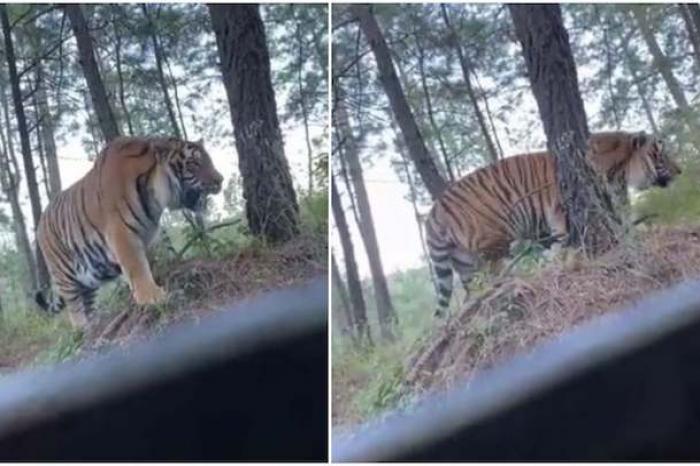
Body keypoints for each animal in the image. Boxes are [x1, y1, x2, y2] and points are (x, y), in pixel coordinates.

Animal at [34, 136, 223, 328]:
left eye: (209, 160)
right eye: (193, 163)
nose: (220, 180)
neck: (155, 195)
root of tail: (39, 223)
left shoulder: (146, 236)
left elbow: (149, 261)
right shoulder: (121, 234)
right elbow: (137, 266)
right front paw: (152, 297)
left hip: (89, 277)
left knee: (87, 301)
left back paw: (94, 323)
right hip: (64, 273)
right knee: (74, 305)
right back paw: (82, 327)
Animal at [424, 130, 680, 316]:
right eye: (662, 155)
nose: (680, 170)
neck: (619, 172)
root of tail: (433, 212)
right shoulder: (559, 210)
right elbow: (563, 239)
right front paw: (560, 262)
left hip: (464, 261)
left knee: (476, 290)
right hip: (494, 240)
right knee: (498, 273)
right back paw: (517, 283)